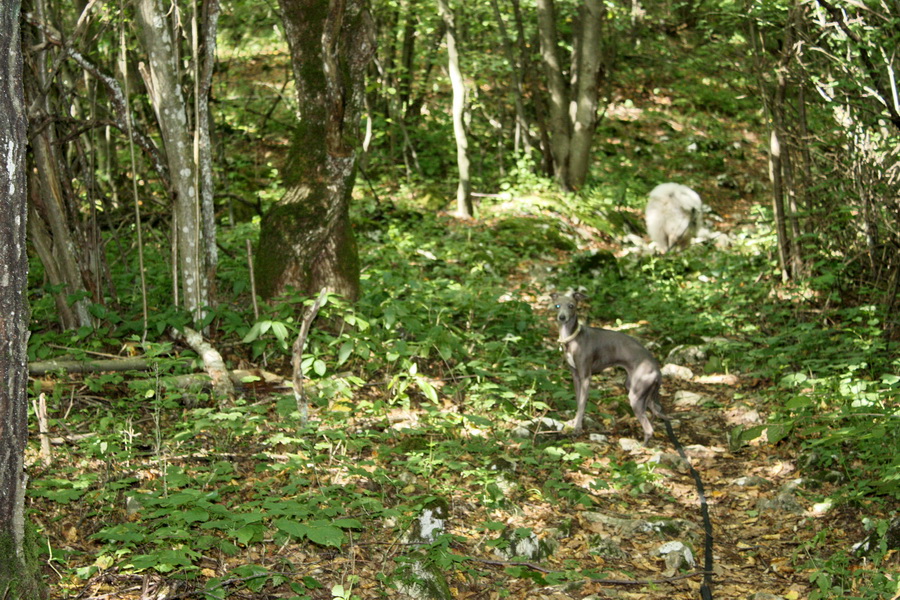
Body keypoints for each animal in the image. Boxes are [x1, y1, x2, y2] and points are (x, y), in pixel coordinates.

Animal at [548, 290, 668, 440]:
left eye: (571, 306)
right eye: (557, 306)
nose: (562, 317)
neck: (573, 338)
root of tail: (657, 370)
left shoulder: (585, 377)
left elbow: (582, 403)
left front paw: (577, 428)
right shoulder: (575, 376)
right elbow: (578, 400)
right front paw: (575, 422)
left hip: (636, 394)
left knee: (649, 428)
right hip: (640, 390)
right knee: (655, 412)